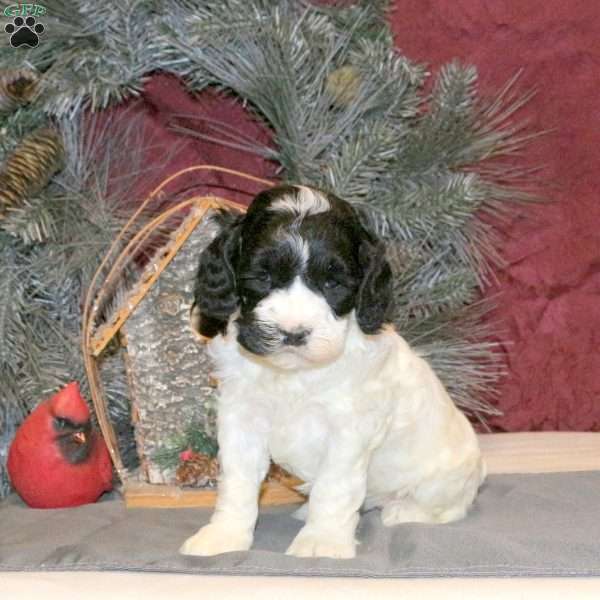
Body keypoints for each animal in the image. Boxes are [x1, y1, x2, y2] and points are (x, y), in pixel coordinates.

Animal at [180, 185, 486, 560]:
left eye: (332, 282)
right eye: (262, 276)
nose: (293, 333)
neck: (294, 374)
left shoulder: (350, 428)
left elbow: (334, 486)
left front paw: (322, 542)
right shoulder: (241, 417)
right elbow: (237, 480)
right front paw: (224, 536)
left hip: (443, 481)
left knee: (447, 508)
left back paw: (402, 511)